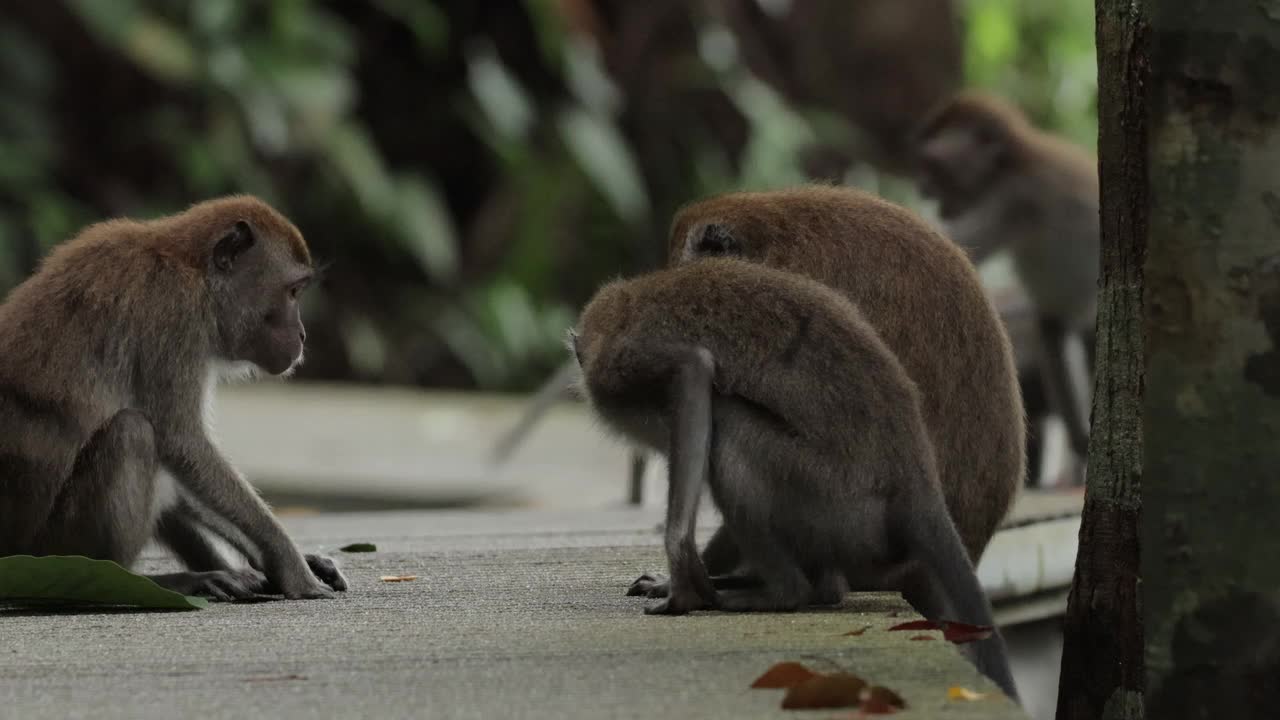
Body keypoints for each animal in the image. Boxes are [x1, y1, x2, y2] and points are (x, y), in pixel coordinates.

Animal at [0, 193, 348, 597]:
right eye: (292, 291)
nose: (303, 334)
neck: (191, 267)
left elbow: (181, 467)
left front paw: (278, 563)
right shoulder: (178, 315)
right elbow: (182, 443)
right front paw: (291, 565)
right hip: (48, 550)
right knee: (132, 433)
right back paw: (154, 580)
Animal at [570, 256, 1018, 696]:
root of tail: (918, 483)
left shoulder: (618, 366)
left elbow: (692, 372)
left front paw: (681, 584)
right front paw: (680, 580)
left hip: (835, 499)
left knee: (728, 422)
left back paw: (784, 591)